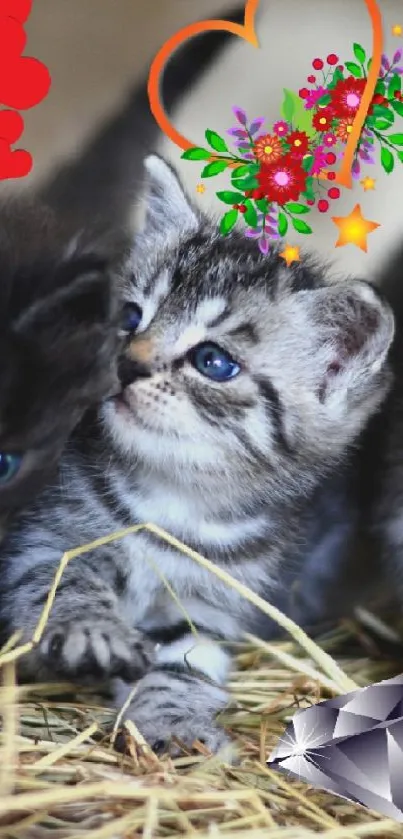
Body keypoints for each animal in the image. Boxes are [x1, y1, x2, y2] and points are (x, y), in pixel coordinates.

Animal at [0, 156, 396, 756]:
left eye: (213, 361)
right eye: (129, 318)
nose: (129, 365)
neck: (173, 498)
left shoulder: (212, 603)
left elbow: (186, 662)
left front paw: (175, 723)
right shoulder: (41, 537)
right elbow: (60, 581)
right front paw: (91, 628)